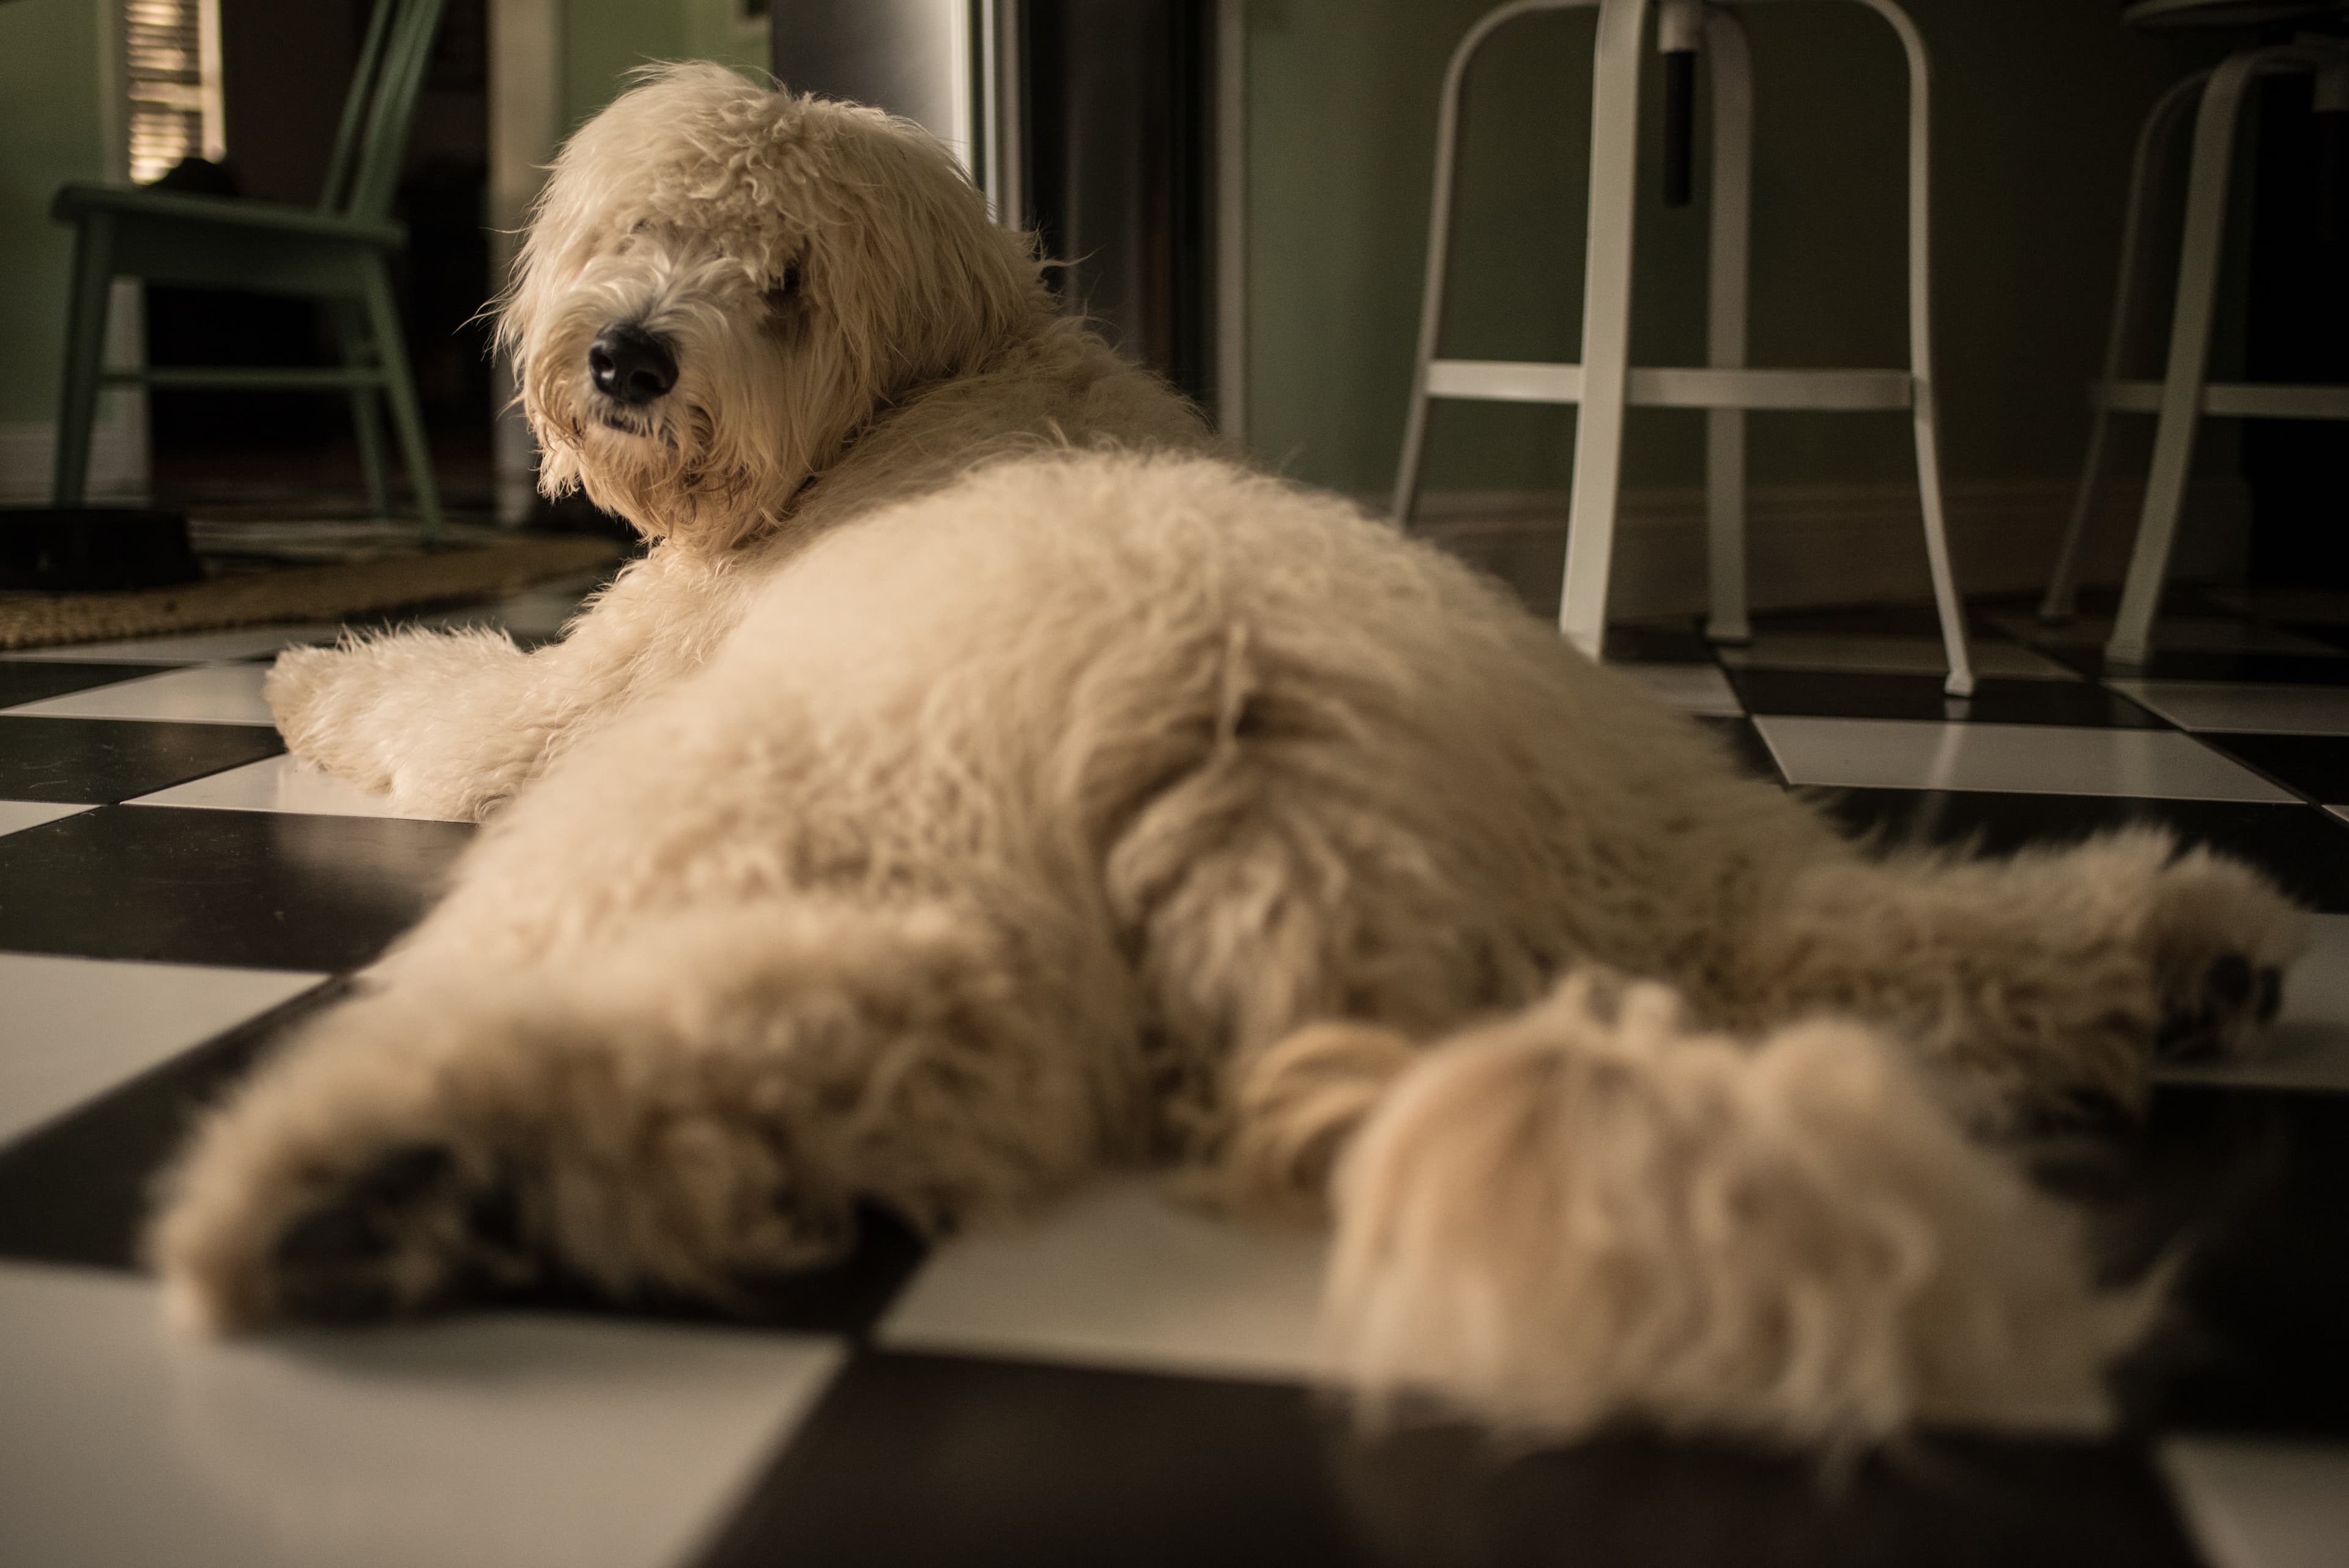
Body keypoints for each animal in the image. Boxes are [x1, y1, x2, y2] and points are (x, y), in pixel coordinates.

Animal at [156, 64, 2302, 1455]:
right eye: (642, 229)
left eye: (784, 283)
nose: (626, 357)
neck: (924, 393)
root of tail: (1281, 784)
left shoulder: (587, 702)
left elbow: (441, 696)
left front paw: (303, 664)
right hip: (1635, 857)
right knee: (1869, 945)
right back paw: (2172, 945)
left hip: (760, 837)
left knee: (694, 1042)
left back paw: (358, 1170)